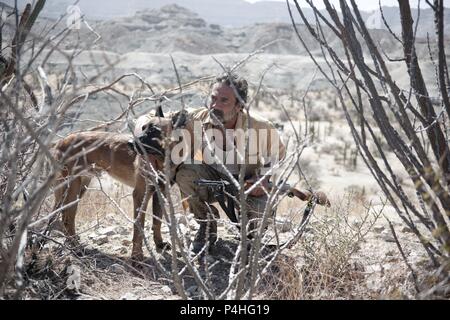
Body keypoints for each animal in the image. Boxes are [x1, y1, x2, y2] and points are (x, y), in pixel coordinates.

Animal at [51, 109, 188, 260]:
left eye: (153, 130)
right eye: (143, 128)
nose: (130, 143)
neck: (161, 159)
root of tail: (61, 140)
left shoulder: (160, 192)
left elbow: (157, 221)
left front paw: (159, 244)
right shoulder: (140, 193)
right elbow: (138, 225)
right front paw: (137, 255)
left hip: (80, 186)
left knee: (63, 214)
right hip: (72, 186)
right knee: (66, 215)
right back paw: (75, 246)